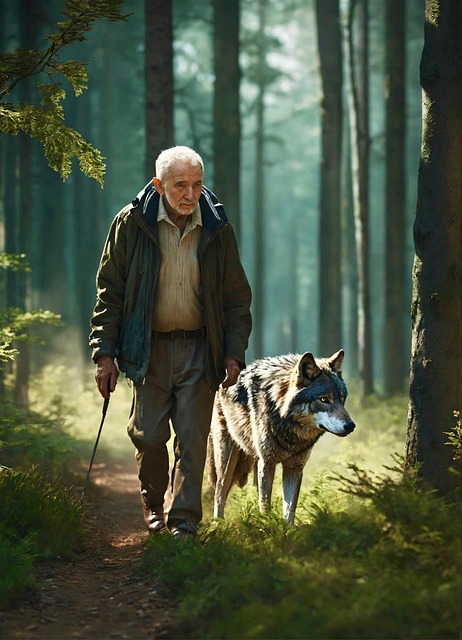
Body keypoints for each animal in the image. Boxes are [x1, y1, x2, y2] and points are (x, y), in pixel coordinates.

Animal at [207, 349, 355, 523]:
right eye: (324, 399)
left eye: (342, 398)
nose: (351, 426)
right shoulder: (267, 463)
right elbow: (265, 507)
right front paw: (267, 527)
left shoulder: (294, 467)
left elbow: (289, 510)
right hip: (227, 461)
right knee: (219, 494)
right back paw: (218, 525)